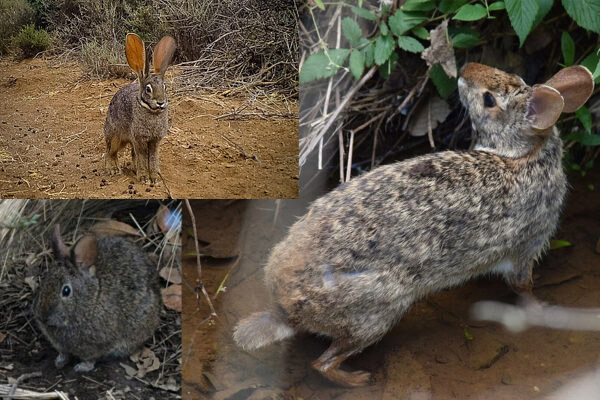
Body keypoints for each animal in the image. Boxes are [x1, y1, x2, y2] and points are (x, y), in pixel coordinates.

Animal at [33, 225, 161, 372]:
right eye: (44, 282)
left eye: (66, 291)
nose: (42, 317)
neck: (91, 300)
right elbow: (64, 353)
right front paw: (60, 361)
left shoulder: (97, 345)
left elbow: (90, 358)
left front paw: (81, 367)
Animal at [104, 33, 176, 184]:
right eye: (148, 89)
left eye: (165, 87)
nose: (161, 103)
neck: (150, 110)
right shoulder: (139, 139)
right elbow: (143, 157)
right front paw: (144, 178)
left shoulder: (154, 141)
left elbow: (152, 159)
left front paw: (154, 178)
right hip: (115, 137)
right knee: (110, 152)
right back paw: (113, 169)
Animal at [232, 64, 592, 386]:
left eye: (492, 96)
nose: (466, 69)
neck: (525, 156)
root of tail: (284, 309)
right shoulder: (525, 248)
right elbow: (522, 287)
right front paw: (542, 308)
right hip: (378, 310)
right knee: (324, 362)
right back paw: (359, 379)